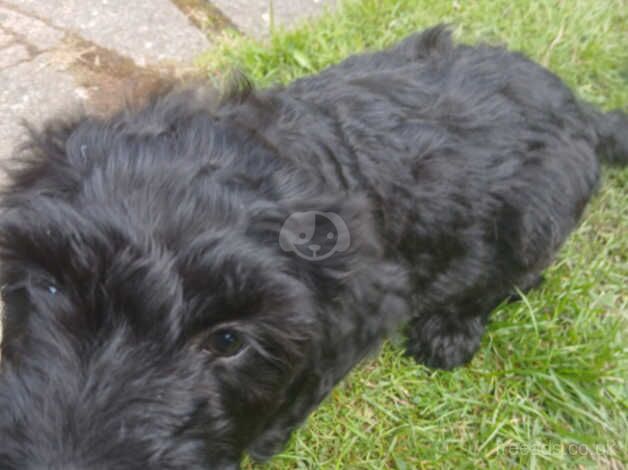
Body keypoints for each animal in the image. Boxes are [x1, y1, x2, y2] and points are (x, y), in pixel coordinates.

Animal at [1, 26, 628, 470]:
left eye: (228, 342)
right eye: (48, 286)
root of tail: (583, 111)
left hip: (539, 217)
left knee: (518, 279)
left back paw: (450, 329)